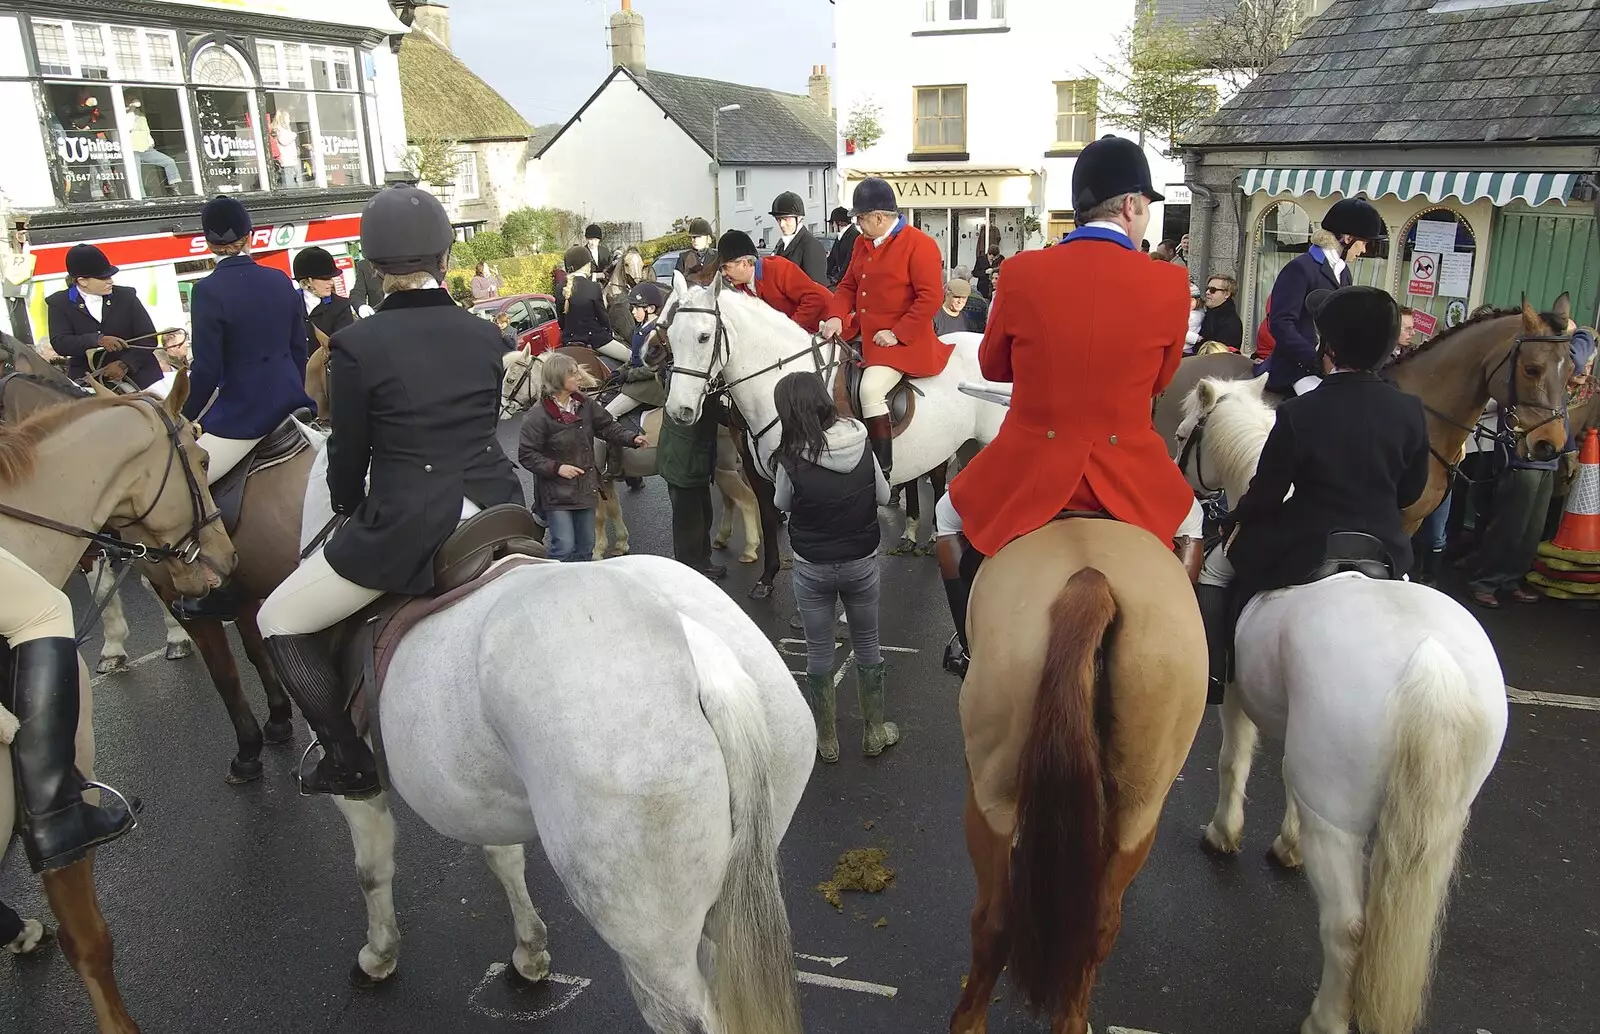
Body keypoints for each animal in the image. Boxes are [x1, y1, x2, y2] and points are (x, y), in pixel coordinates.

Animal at [288, 428, 812, 1034]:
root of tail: (703, 655)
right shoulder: (478, 792)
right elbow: (505, 859)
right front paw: (529, 953)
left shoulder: (359, 791)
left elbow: (372, 871)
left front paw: (378, 955)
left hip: (651, 939)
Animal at [947, 528, 1203, 1034]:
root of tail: (1090, 580)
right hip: (1141, 807)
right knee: (1097, 927)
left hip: (990, 797)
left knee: (993, 923)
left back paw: (966, 1021)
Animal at [1171, 379, 1504, 1034]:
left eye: (1182, 433)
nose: (1181, 491)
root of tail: (1430, 664)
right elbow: (1285, 783)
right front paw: (1287, 844)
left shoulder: (1238, 699)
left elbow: (1233, 763)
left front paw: (1224, 833)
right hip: (1438, 822)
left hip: (1340, 820)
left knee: (1347, 927)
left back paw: (1325, 1017)